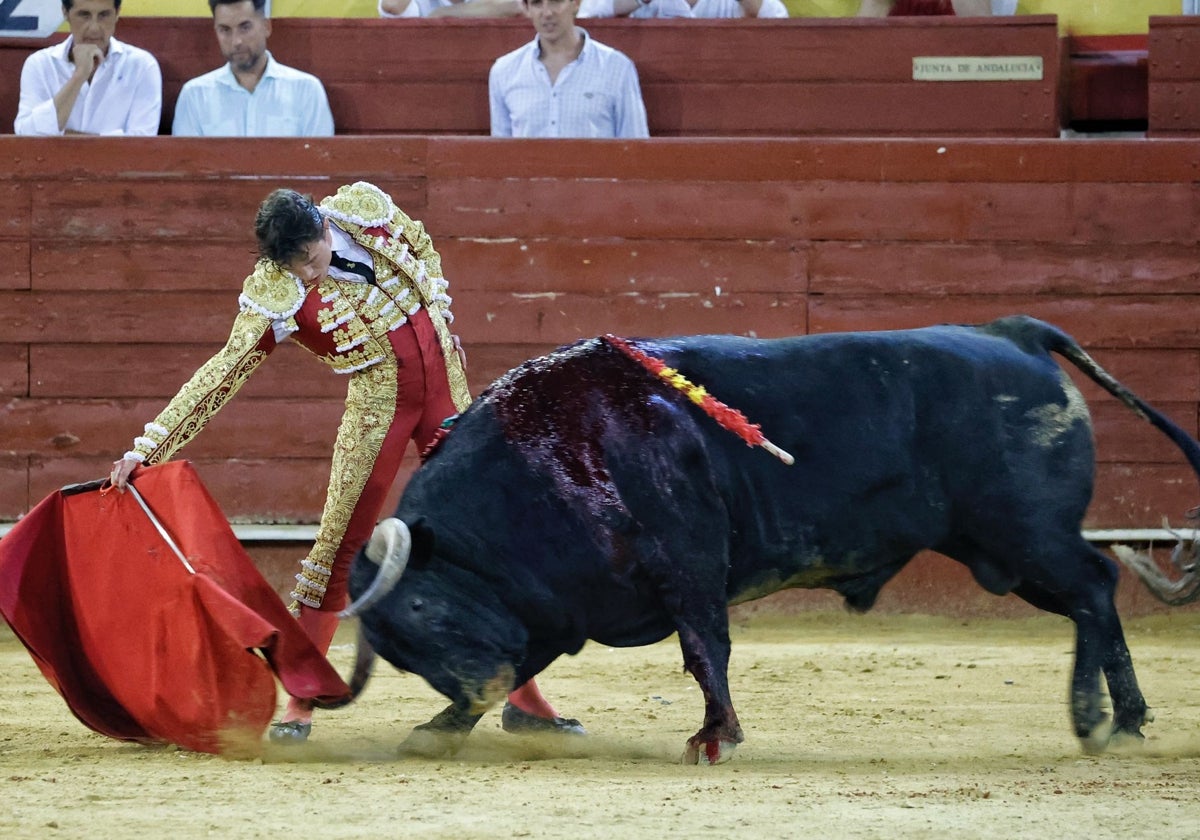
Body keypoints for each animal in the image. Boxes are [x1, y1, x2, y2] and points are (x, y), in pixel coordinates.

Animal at [316, 314, 1200, 763]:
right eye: (402, 652)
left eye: (422, 610)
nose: (479, 683)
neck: (545, 457)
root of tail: (1014, 334)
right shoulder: (551, 609)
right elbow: (535, 657)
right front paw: (441, 727)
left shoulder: (687, 563)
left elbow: (706, 647)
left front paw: (715, 736)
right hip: (1006, 550)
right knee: (1093, 599)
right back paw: (1122, 720)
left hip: (1024, 535)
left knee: (1095, 588)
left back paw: (1100, 719)